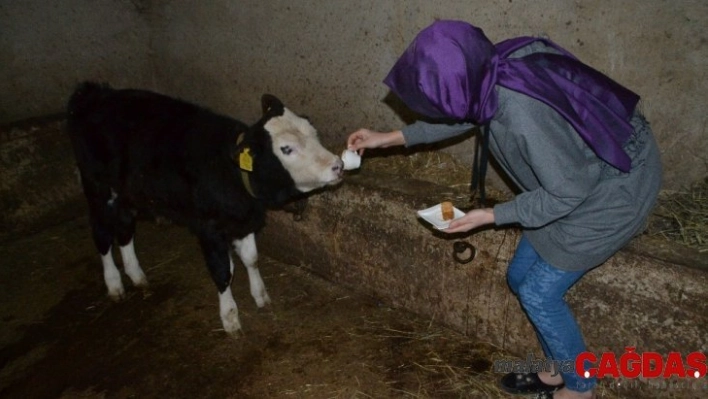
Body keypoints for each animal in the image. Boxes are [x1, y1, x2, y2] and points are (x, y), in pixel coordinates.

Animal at [68, 83, 344, 336]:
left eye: (313, 131)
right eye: (287, 149)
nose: (338, 165)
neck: (232, 172)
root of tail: (94, 92)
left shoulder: (244, 220)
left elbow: (251, 259)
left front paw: (260, 295)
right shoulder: (209, 229)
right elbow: (223, 272)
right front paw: (230, 318)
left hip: (127, 195)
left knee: (125, 230)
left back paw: (136, 275)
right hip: (97, 189)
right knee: (102, 235)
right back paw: (114, 283)